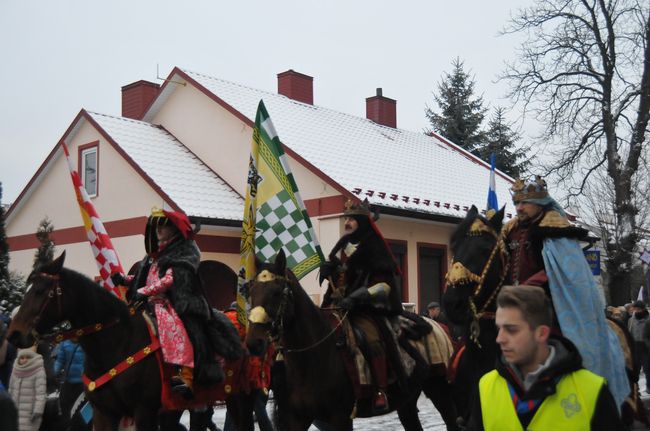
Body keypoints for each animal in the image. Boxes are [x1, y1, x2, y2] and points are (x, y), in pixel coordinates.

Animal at [6, 251, 251, 431]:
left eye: (40, 291)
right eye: (27, 289)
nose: (14, 334)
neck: (116, 343)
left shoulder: (144, 411)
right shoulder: (104, 413)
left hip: (238, 397)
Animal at [244, 250, 460, 431]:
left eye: (276, 292)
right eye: (251, 292)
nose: (254, 343)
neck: (311, 358)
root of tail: (439, 327)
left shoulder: (340, 418)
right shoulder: (295, 419)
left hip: (440, 391)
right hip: (407, 400)